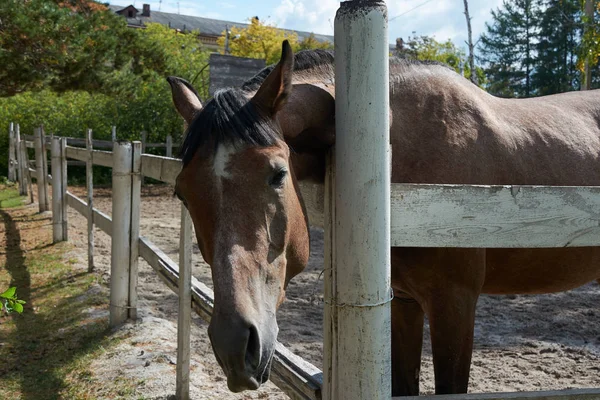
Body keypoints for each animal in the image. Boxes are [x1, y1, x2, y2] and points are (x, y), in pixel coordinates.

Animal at [166, 42, 600, 396]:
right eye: (181, 192)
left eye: (278, 174)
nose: (234, 345)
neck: (396, 148)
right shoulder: (403, 301)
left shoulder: (455, 302)